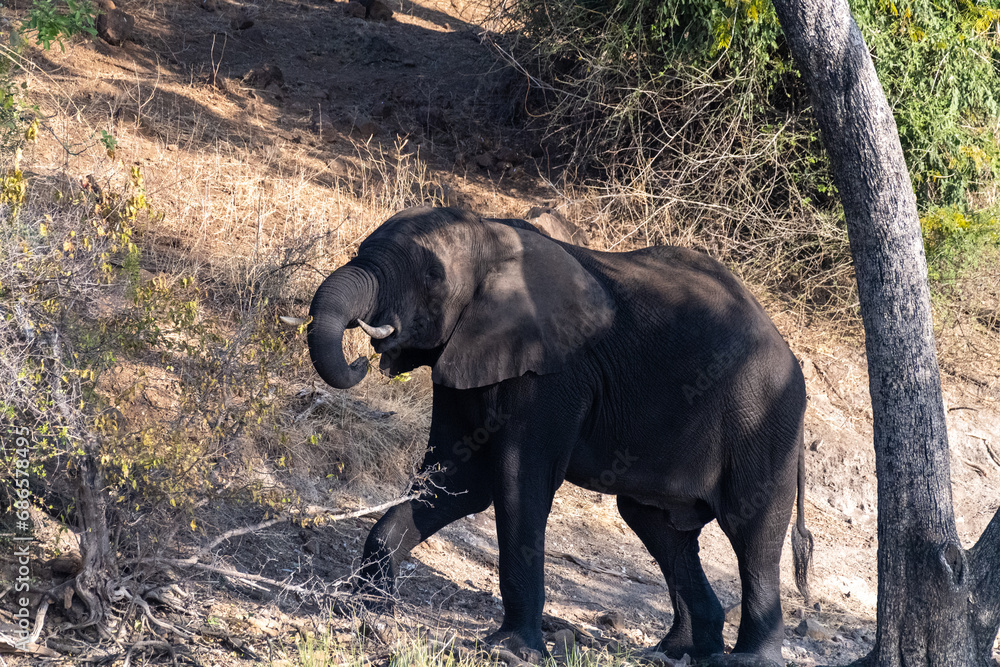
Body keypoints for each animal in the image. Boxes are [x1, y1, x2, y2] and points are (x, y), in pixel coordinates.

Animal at [306, 206, 813, 665]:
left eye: (433, 277)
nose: (361, 358)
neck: (492, 234)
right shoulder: (464, 357)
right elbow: (457, 480)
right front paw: (363, 608)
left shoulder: (552, 376)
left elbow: (517, 483)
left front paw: (508, 653)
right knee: (657, 525)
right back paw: (676, 653)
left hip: (764, 420)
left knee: (752, 534)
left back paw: (745, 660)